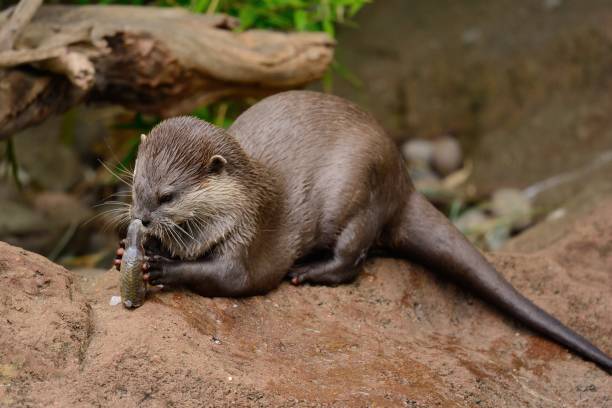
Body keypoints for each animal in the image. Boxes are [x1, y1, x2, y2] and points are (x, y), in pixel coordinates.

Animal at [112, 91, 608, 372]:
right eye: (136, 184)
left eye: (169, 196)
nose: (142, 217)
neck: (239, 201)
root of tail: (403, 181)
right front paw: (126, 252)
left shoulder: (248, 238)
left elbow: (233, 278)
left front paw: (161, 266)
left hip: (356, 193)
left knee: (354, 258)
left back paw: (310, 271)